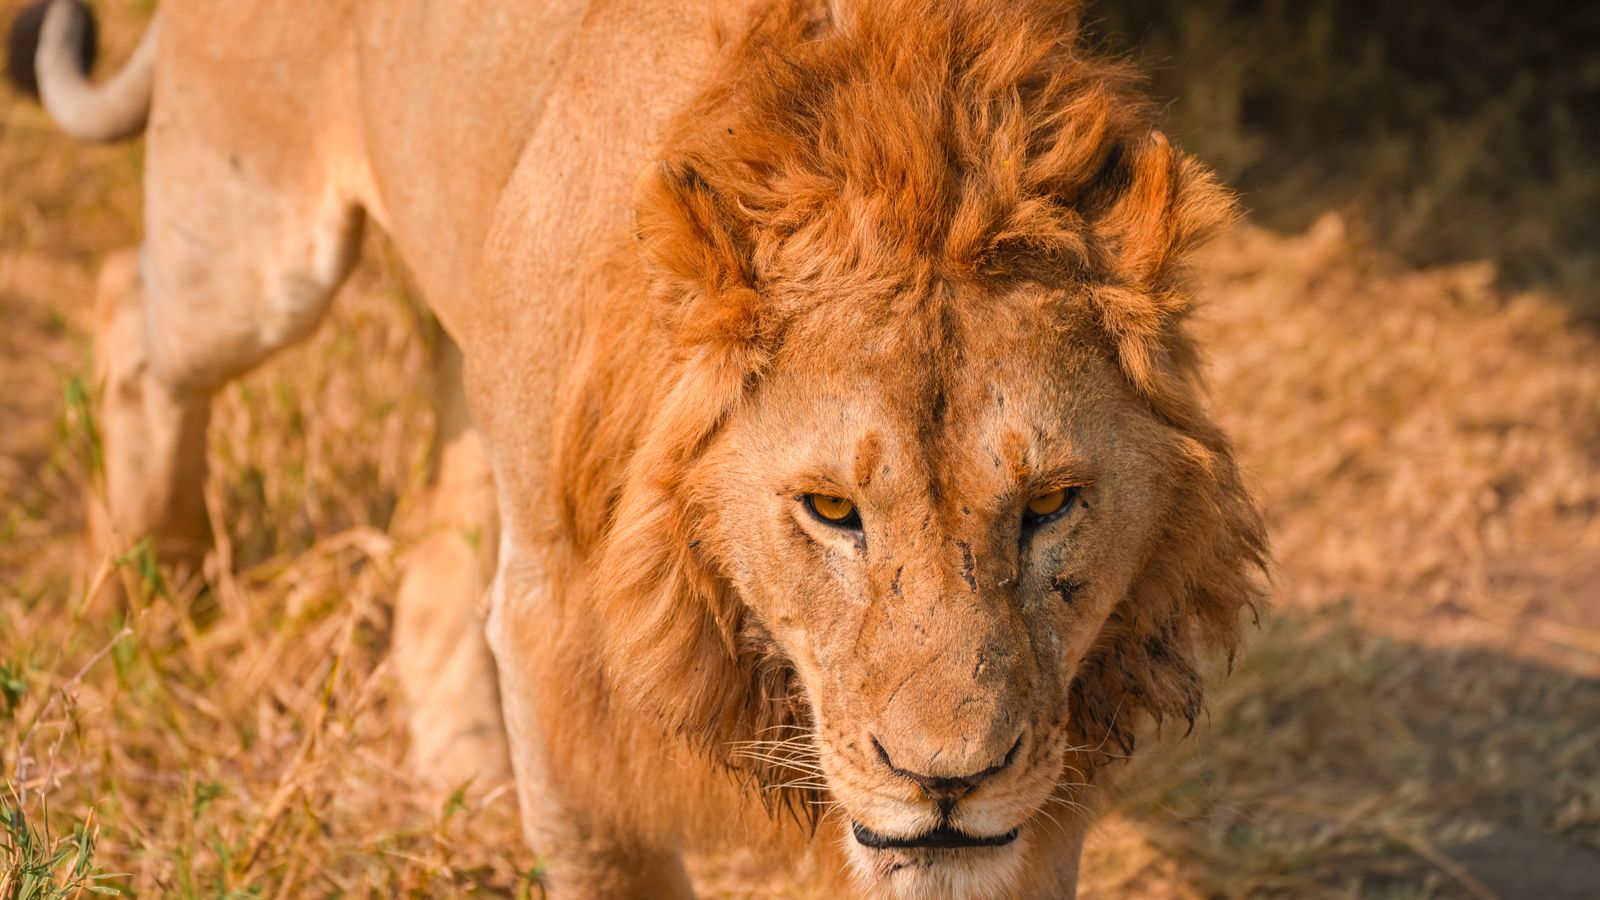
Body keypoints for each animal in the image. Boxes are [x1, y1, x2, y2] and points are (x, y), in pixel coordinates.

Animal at [12, 0, 1267, 896]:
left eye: (1050, 503)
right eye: (830, 512)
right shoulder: (556, 647)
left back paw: (461, 765)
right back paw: (145, 601)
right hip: (252, 244)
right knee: (131, 316)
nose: (946, 781)